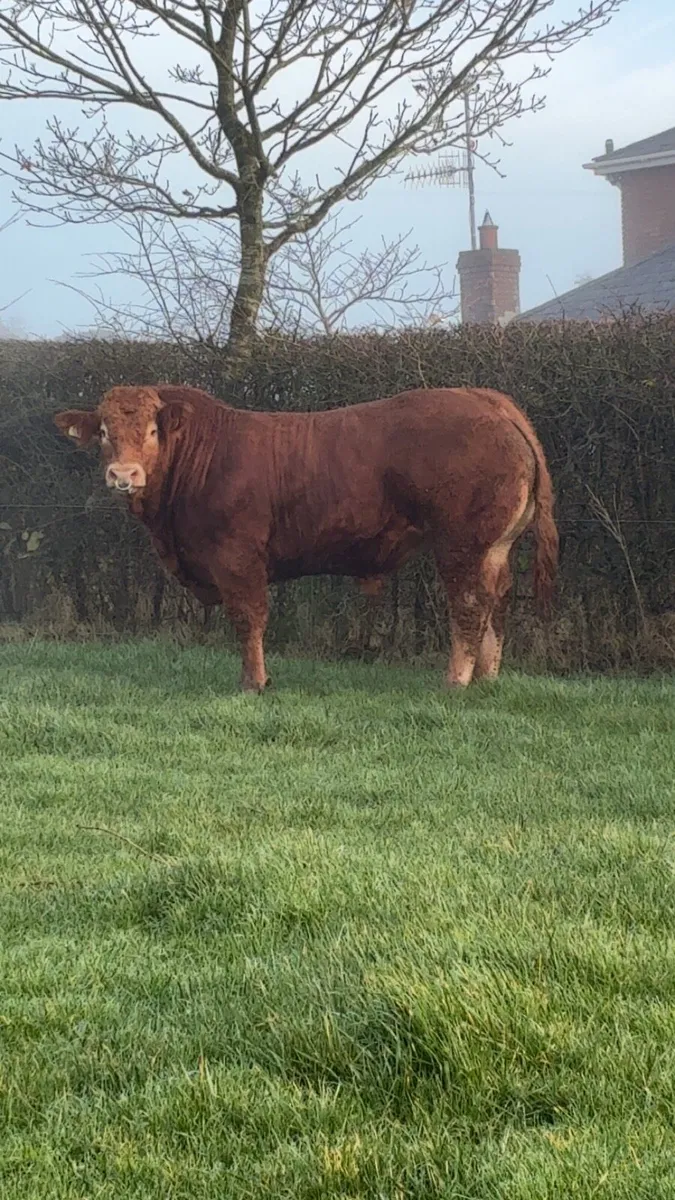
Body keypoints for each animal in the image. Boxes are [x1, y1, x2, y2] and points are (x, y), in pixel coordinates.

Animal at [54, 384, 558, 692]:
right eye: (103, 431)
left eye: (153, 430)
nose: (123, 475)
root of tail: (483, 398)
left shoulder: (237, 557)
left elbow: (249, 619)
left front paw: (253, 683)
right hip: (495, 548)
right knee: (498, 602)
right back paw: (487, 679)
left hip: (462, 545)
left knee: (470, 605)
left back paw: (455, 681)